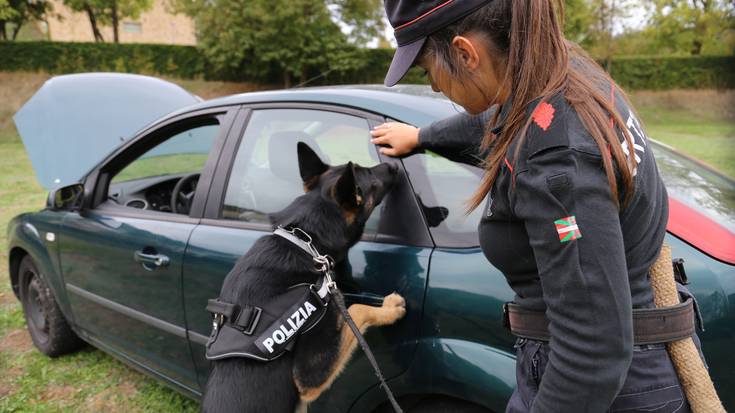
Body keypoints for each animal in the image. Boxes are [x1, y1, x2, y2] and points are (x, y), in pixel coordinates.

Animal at [201, 142, 406, 412]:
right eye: (370, 175)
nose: (393, 165)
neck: (304, 240)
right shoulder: (309, 376)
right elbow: (357, 309)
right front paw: (389, 308)